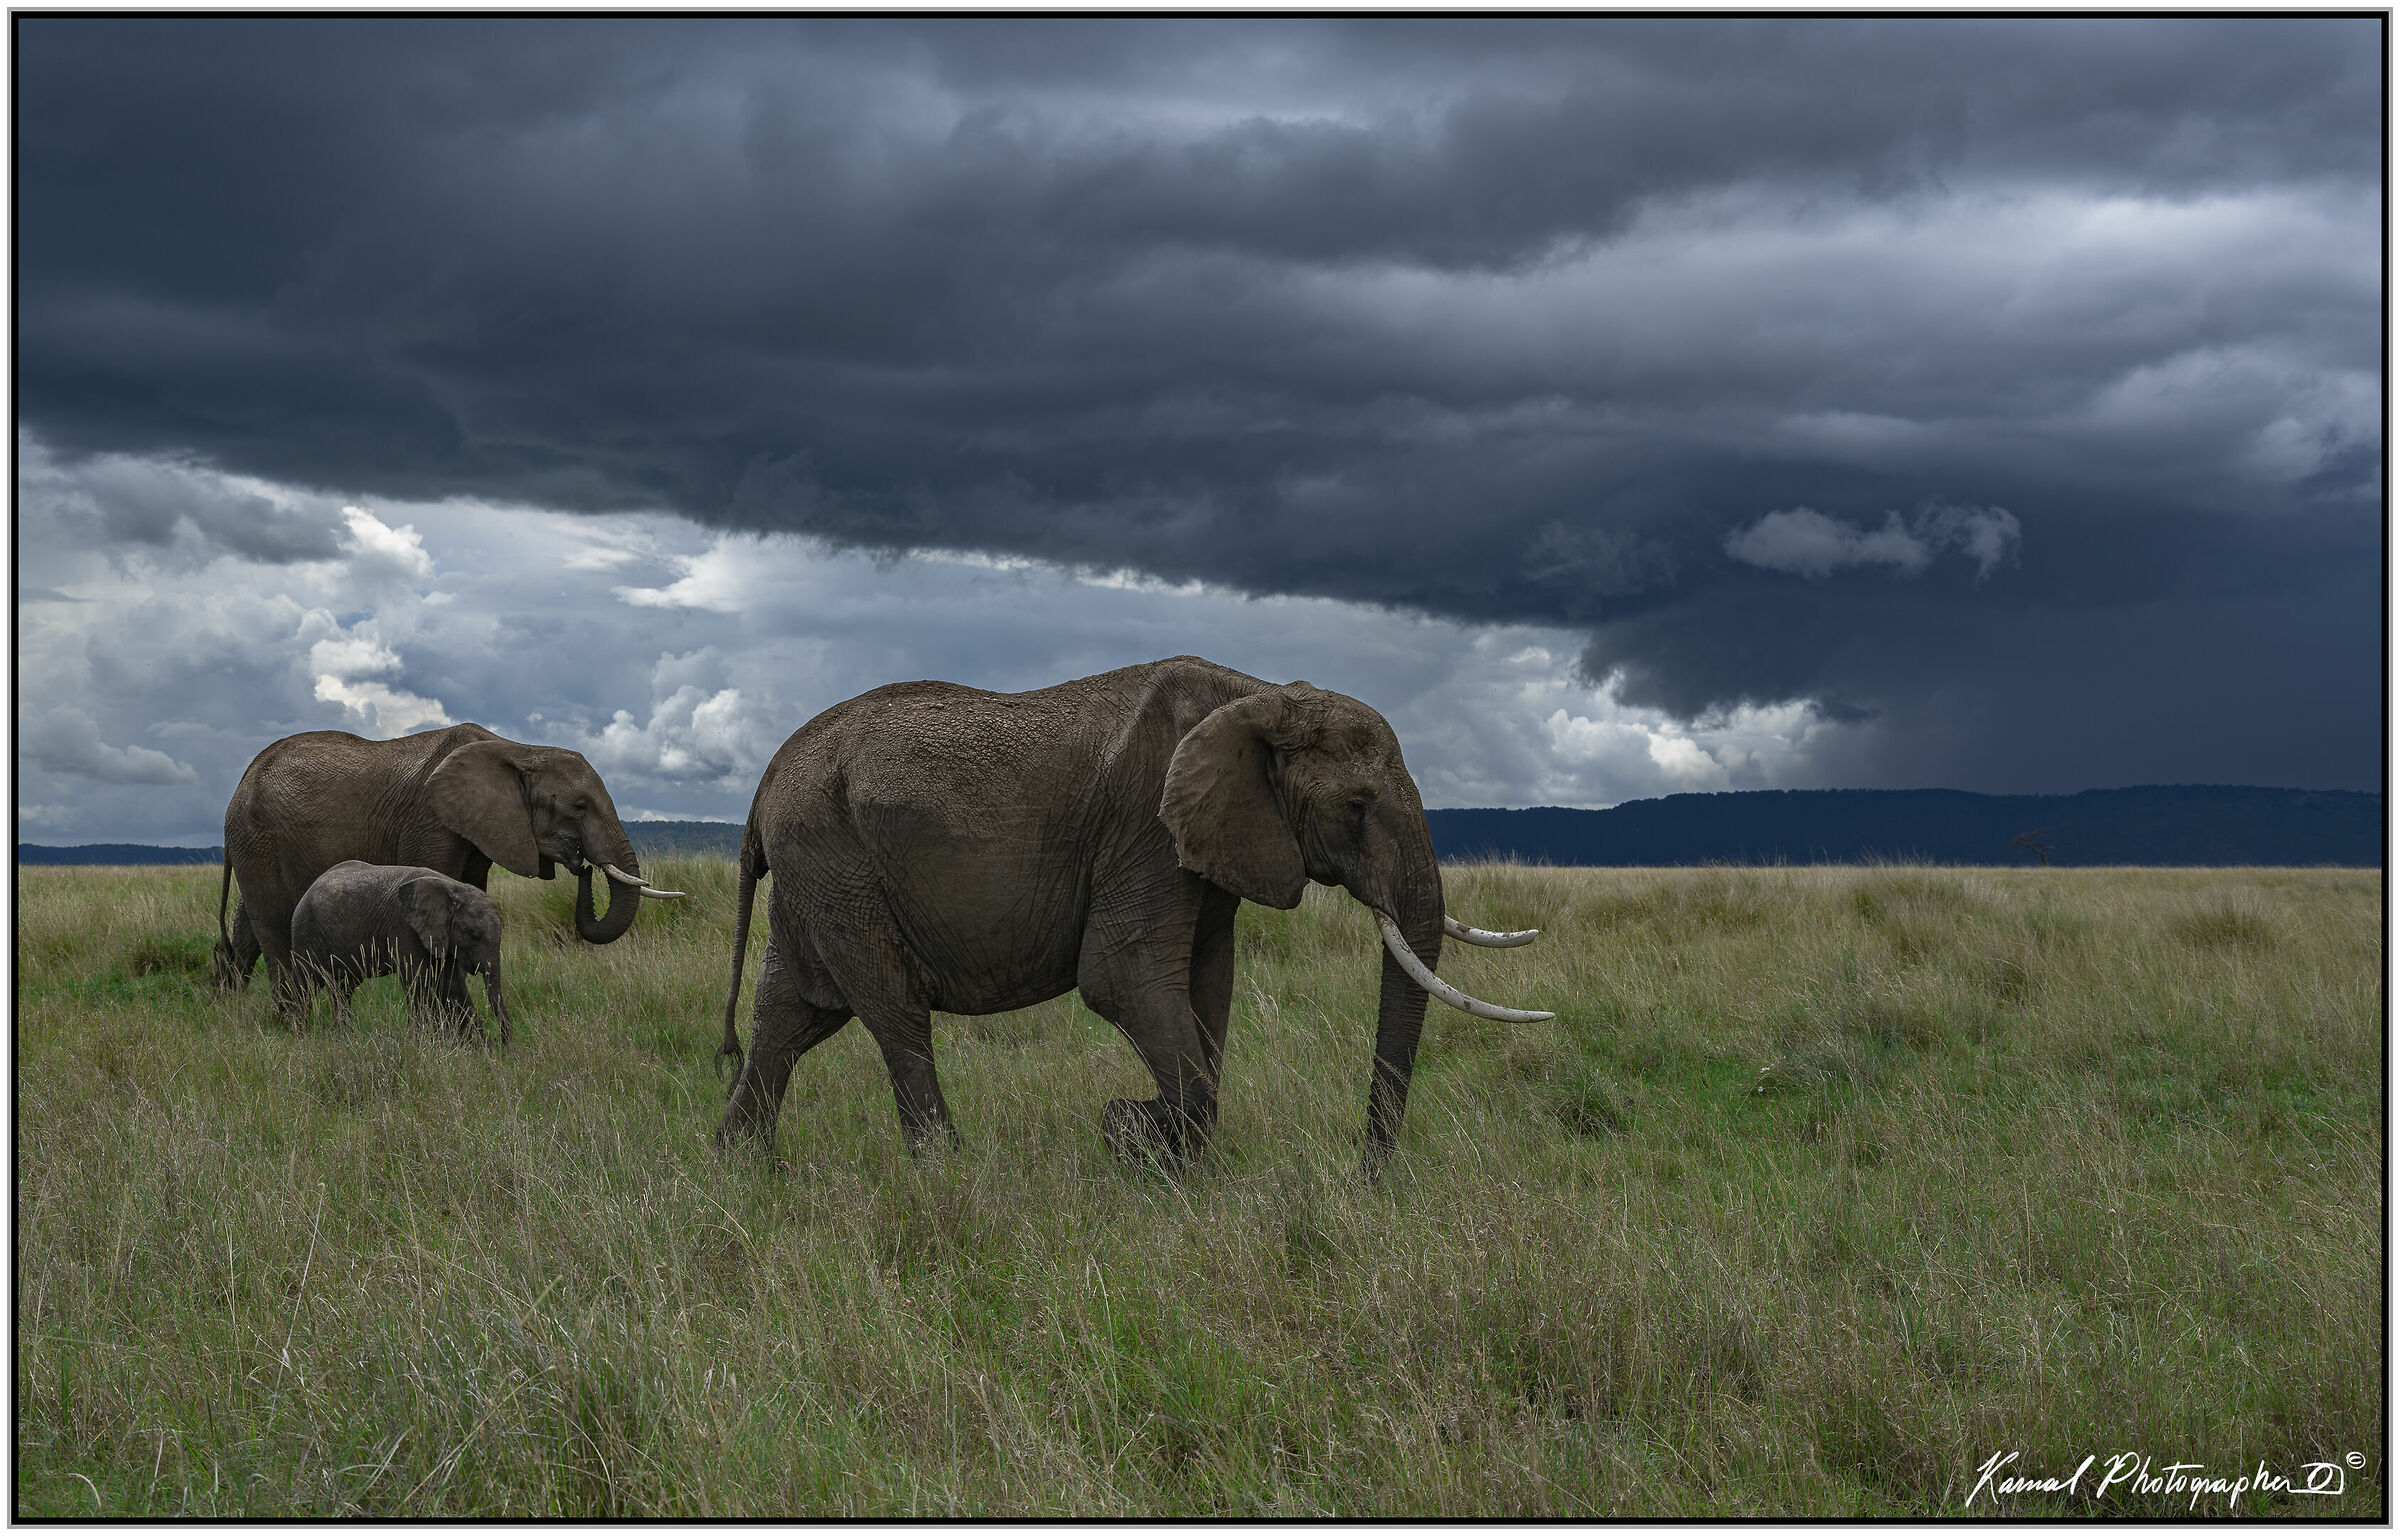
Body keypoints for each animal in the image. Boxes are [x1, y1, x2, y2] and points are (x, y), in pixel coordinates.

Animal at [213, 723, 683, 1014]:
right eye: (580, 807)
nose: (581, 864)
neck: (518, 749)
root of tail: (239, 784)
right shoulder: (431, 821)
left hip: (257, 843)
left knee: (247, 927)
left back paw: (235, 1014)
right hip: (258, 836)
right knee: (273, 925)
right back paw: (296, 1026)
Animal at [286, 861, 515, 1040]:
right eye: (474, 935)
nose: (501, 1040)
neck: (453, 888)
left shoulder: (443, 934)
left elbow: (452, 984)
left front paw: (474, 1046)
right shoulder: (405, 927)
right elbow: (418, 981)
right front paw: (421, 1043)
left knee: (342, 988)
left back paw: (345, 1037)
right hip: (306, 932)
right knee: (306, 984)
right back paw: (302, 1037)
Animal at [713, 655, 1549, 1172]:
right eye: (1358, 806)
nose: (1362, 1176)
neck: (1260, 694)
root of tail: (766, 780)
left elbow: (1210, 988)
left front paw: (1169, 1163)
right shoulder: (1144, 827)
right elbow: (1122, 979)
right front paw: (1129, 1133)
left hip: (821, 873)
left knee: (790, 1015)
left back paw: (742, 1172)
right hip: (836, 861)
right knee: (895, 1015)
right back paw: (946, 1171)